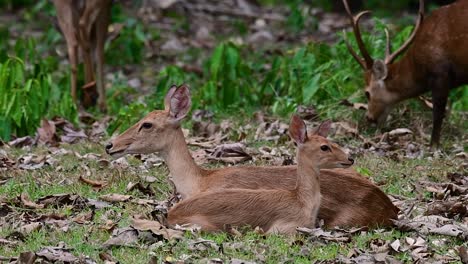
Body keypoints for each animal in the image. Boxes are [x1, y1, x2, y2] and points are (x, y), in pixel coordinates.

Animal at [166, 115, 352, 233]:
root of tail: (170, 214)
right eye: (324, 147)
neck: (302, 201)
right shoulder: (284, 228)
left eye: (332, 142)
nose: (350, 158)